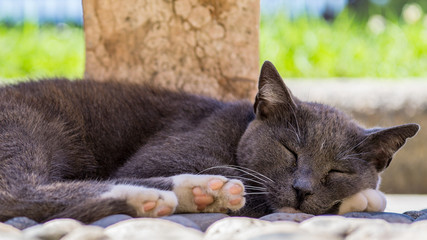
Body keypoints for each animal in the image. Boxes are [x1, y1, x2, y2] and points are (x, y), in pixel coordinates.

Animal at [0, 61, 420, 222]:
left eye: (337, 171)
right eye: (290, 150)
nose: (302, 189)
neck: (236, 131)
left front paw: (360, 194)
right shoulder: (177, 147)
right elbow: (260, 198)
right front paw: (363, 198)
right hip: (30, 126)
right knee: (17, 191)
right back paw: (183, 191)